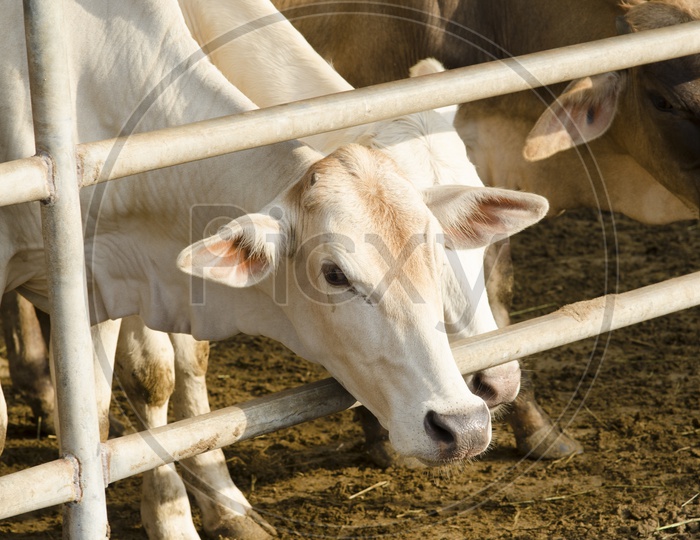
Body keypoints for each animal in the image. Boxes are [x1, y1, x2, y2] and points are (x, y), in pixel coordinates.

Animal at [0, 2, 548, 536]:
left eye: (440, 242)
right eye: (335, 273)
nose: (466, 421)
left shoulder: (113, 282)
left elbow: (145, 384)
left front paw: (215, 509)